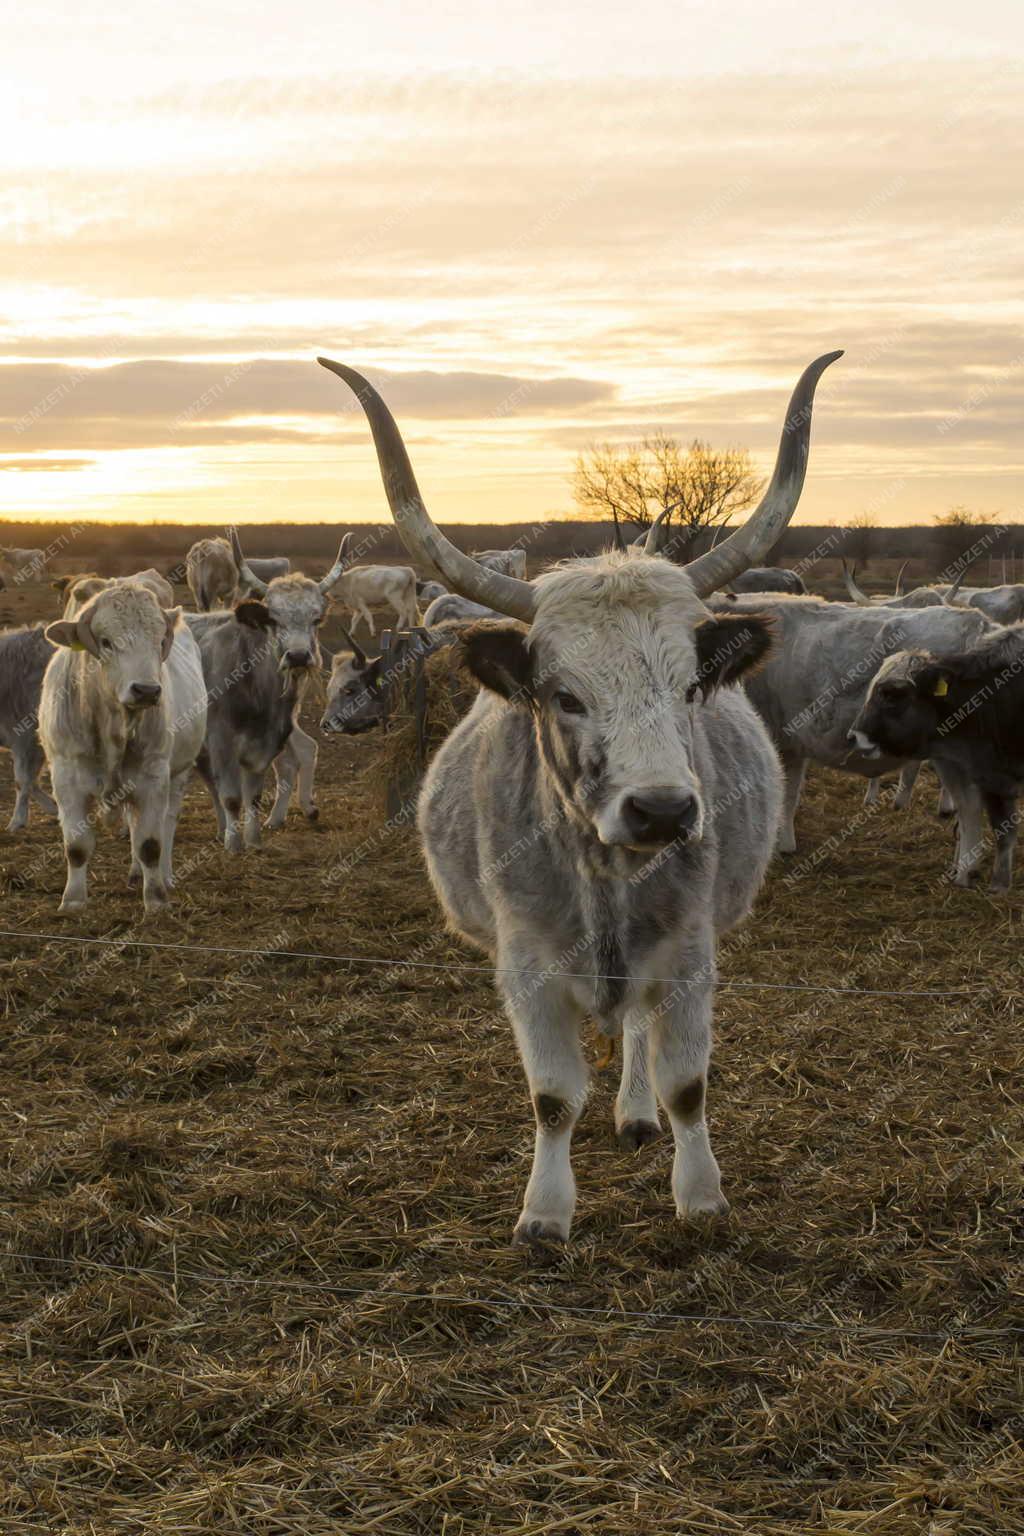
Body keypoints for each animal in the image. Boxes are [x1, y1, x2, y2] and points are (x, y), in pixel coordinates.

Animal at [847, 623, 1024, 890]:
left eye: (891, 694)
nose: (853, 736)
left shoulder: (997, 779)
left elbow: (1003, 831)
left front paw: (999, 885)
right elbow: (970, 818)